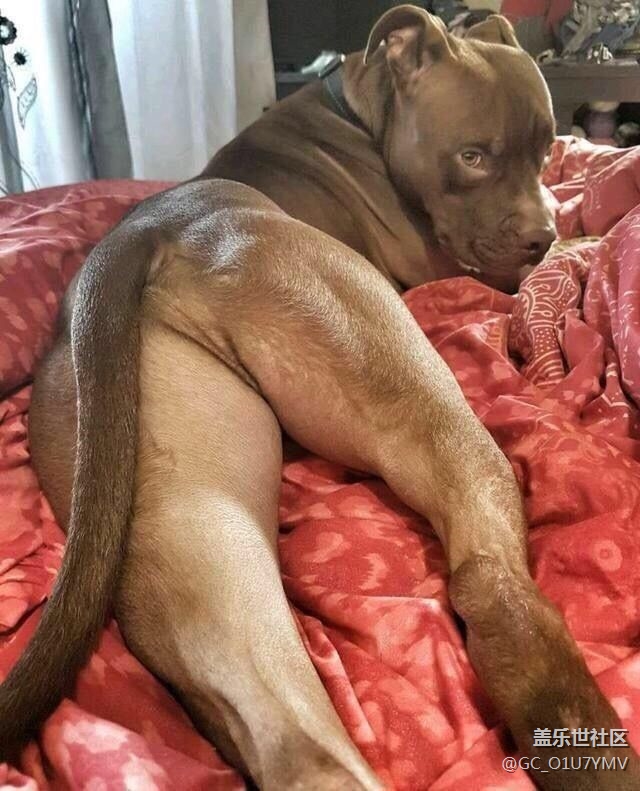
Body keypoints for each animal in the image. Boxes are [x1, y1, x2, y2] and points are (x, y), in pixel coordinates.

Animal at [1, 6, 638, 790]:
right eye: (473, 156)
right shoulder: (451, 265)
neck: (367, 107)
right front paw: (590, 229)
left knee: (286, 729)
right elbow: (579, 231)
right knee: (488, 575)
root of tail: (156, 228)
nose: (534, 237)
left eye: (546, 150)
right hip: (411, 391)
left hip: (186, 510)